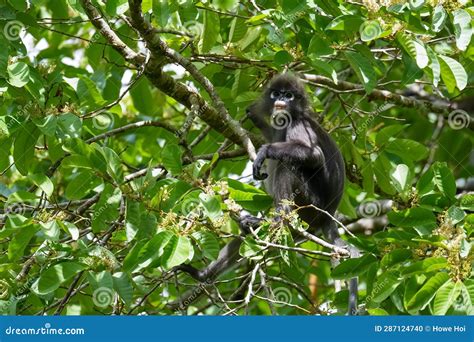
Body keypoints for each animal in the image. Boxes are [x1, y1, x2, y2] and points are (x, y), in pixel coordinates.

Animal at [178, 73, 360, 314]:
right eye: (276, 93)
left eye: (289, 95)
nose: (281, 100)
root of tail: (327, 216)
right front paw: (253, 114)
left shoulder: (299, 124)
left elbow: (314, 155)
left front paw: (265, 151)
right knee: (246, 235)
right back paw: (204, 273)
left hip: (310, 205)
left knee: (286, 165)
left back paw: (278, 219)